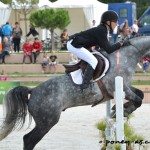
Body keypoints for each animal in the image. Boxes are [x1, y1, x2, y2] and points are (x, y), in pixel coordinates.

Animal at [0, 35, 150, 149]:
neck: (126, 56)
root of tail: (33, 90)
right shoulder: (118, 88)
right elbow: (138, 100)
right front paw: (122, 111)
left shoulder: (126, 87)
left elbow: (141, 95)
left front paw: (119, 109)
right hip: (47, 121)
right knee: (29, 139)